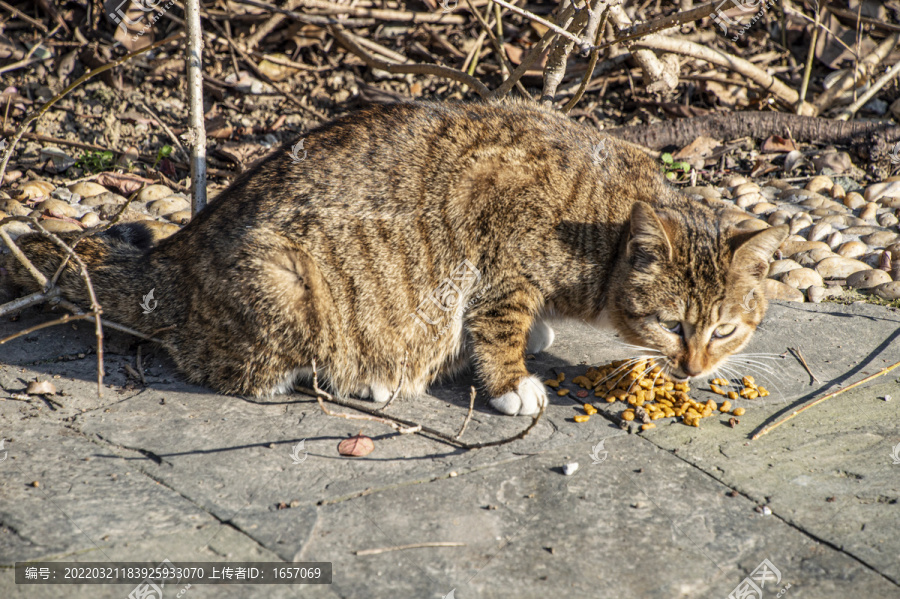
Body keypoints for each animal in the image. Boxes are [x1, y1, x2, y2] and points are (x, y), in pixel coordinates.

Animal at [1, 101, 788, 414]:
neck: (604, 220)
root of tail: (176, 251)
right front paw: (512, 382)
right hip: (288, 291)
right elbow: (499, 326)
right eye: (675, 325)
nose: (695, 368)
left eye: (724, 330)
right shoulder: (500, 260)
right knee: (249, 373)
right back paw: (362, 380)